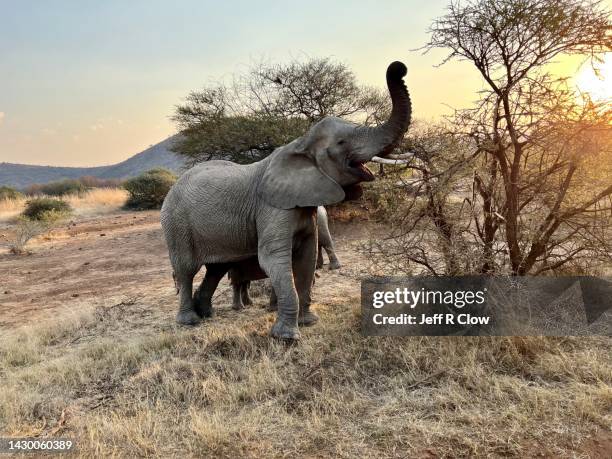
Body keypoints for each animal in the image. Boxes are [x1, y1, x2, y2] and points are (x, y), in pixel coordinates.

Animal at [160, 61, 414, 340]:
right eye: (341, 142)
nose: (399, 67)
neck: (300, 144)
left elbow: (306, 256)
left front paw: (308, 322)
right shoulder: (272, 208)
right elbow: (273, 258)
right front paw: (287, 338)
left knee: (217, 269)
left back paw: (206, 313)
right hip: (176, 224)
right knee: (186, 269)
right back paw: (190, 320)